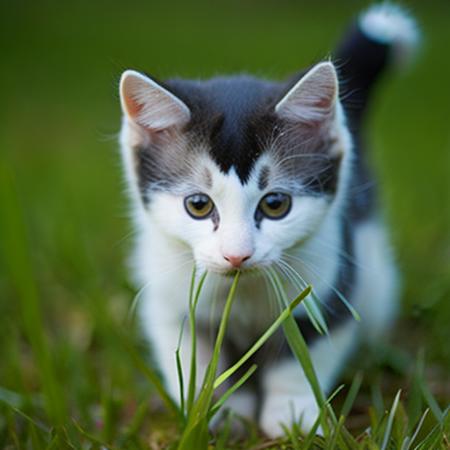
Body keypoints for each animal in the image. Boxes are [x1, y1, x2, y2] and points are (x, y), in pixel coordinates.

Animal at [117, 3, 418, 438]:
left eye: (276, 204)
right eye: (198, 205)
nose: (237, 255)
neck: (242, 292)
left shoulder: (331, 278)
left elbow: (306, 349)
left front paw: (293, 417)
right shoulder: (169, 297)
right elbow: (198, 354)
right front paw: (214, 411)